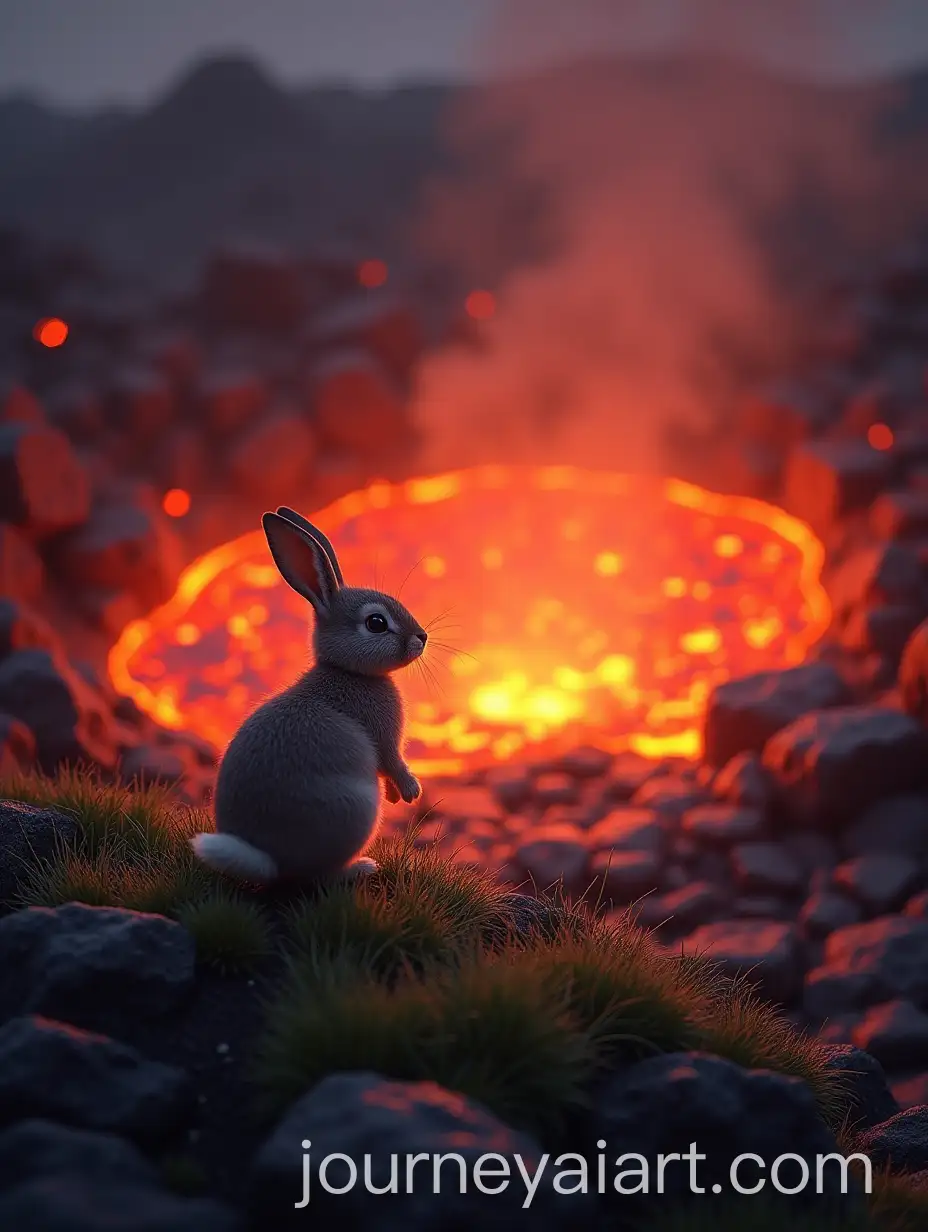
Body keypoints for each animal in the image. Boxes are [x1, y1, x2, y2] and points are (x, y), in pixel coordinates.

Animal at [189, 505, 426, 884]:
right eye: (376, 623)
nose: (422, 638)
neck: (348, 671)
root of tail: (272, 860)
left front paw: (396, 796)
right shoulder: (384, 736)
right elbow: (393, 760)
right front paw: (410, 792)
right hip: (357, 810)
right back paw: (362, 867)